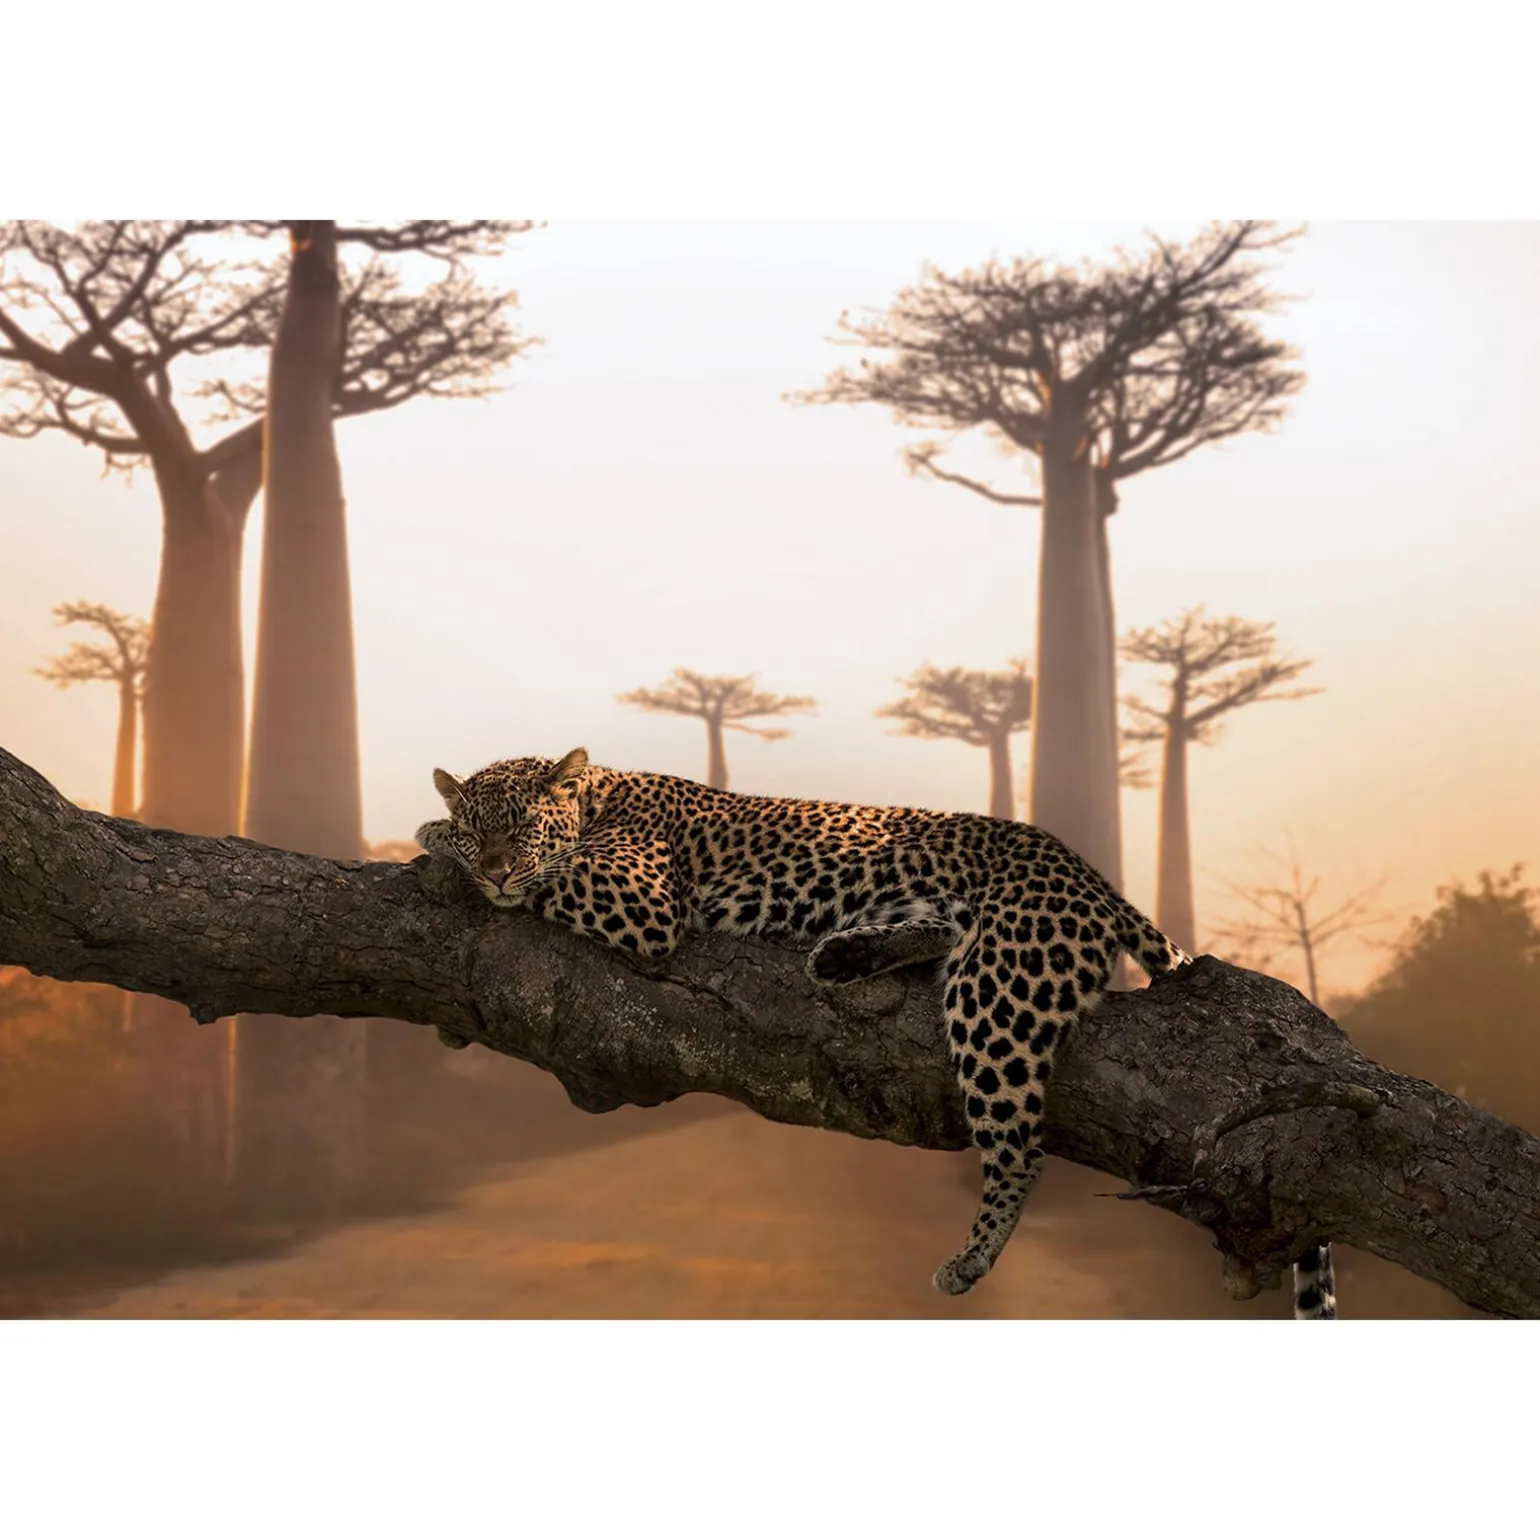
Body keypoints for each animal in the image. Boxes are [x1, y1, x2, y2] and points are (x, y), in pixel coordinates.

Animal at [415, 747, 1336, 1312]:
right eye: (481, 827)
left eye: (520, 830)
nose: (493, 867)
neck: (602, 789)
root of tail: (1091, 877)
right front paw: (439, 834)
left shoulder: (638, 900)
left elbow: (554, 876)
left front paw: (430, 838)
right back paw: (847, 952)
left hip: (997, 993)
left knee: (1020, 1148)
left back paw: (971, 1258)